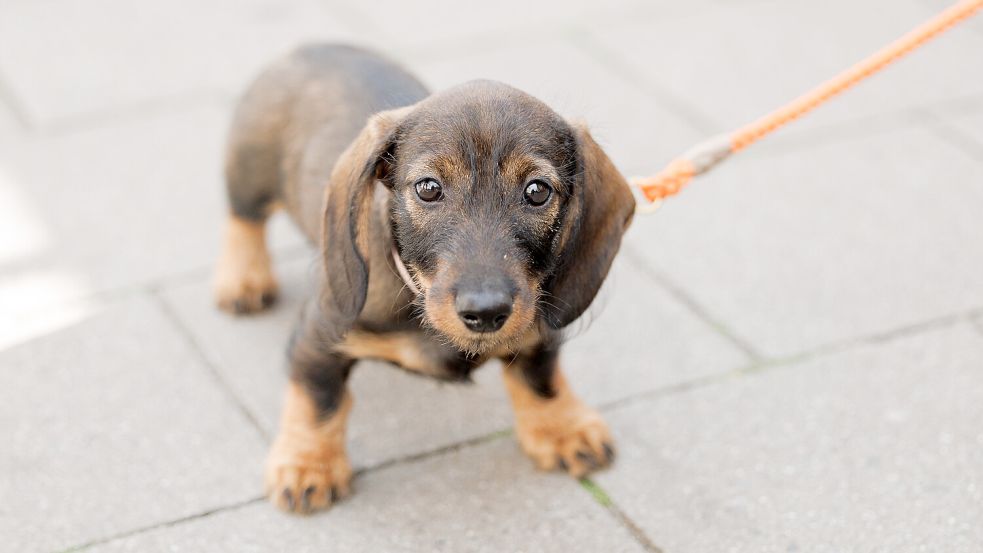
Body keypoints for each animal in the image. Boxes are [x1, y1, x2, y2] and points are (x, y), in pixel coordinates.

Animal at [211, 44, 636, 512]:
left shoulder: (537, 321)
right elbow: (319, 399)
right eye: (428, 188)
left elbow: (540, 376)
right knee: (243, 219)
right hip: (250, 173)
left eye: (537, 191)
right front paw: (309, 464)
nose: (485, 312)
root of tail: (312, 47)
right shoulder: (319, 334)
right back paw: (244, 278)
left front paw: (562, 426)